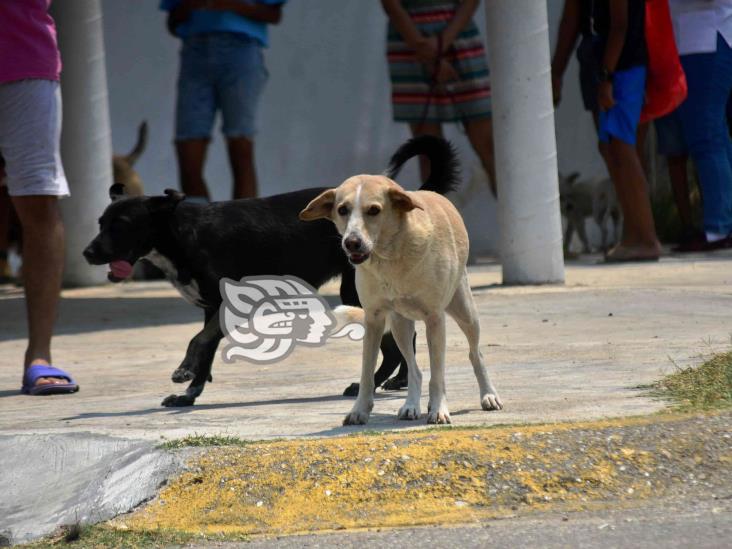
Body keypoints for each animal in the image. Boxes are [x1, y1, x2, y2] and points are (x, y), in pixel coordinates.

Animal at [81, 135, 458, 404]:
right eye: (100, 223)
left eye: (121, 226)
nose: (87, 253)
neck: (182, 233)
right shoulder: (210, 310)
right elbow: (206, 349)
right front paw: (190, 394)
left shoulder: (226, 305)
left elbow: (197, 340)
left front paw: (183, 371)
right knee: (401, 339)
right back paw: (397, 380)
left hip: (355, 291)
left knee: (394, 343)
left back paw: (377, 382)